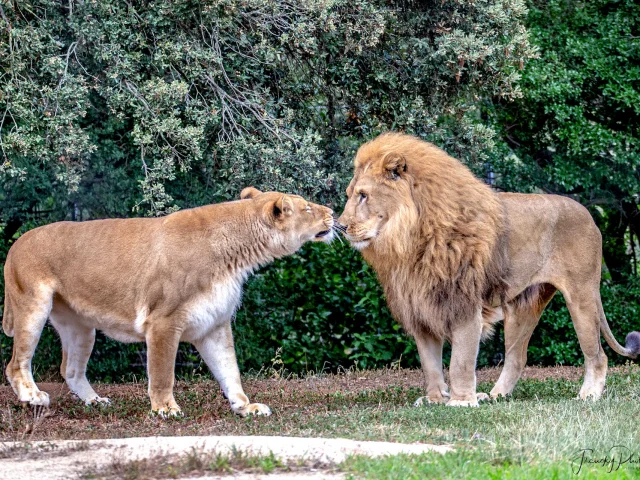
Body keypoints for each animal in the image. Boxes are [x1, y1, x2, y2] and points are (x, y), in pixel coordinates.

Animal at [2, 188, 336, 416]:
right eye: (307, 207)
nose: (332, 211)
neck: (236, 255)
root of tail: (16, 242)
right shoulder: (162, 321)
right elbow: (163, 372)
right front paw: (165, 409)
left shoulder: (214, 325)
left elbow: (230, 370)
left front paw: (245, 407)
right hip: (32, 306)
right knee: (16, 363)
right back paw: (33, 396)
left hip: (80, 327)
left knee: (70, 369)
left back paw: (95, 401)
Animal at [338, 133, 636, 406]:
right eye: (350, 195)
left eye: (363, 196)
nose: (340, 226)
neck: (406, 240)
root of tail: (589, 215)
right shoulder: (421, 309)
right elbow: (430, 364)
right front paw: (436, 399)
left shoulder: (464, 306)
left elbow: (460, 361)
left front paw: (461, 401)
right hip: (522, 307)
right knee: (517, 357)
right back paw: (494, 396)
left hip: (581, 296)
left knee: (597, 355)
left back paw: (589, 395)